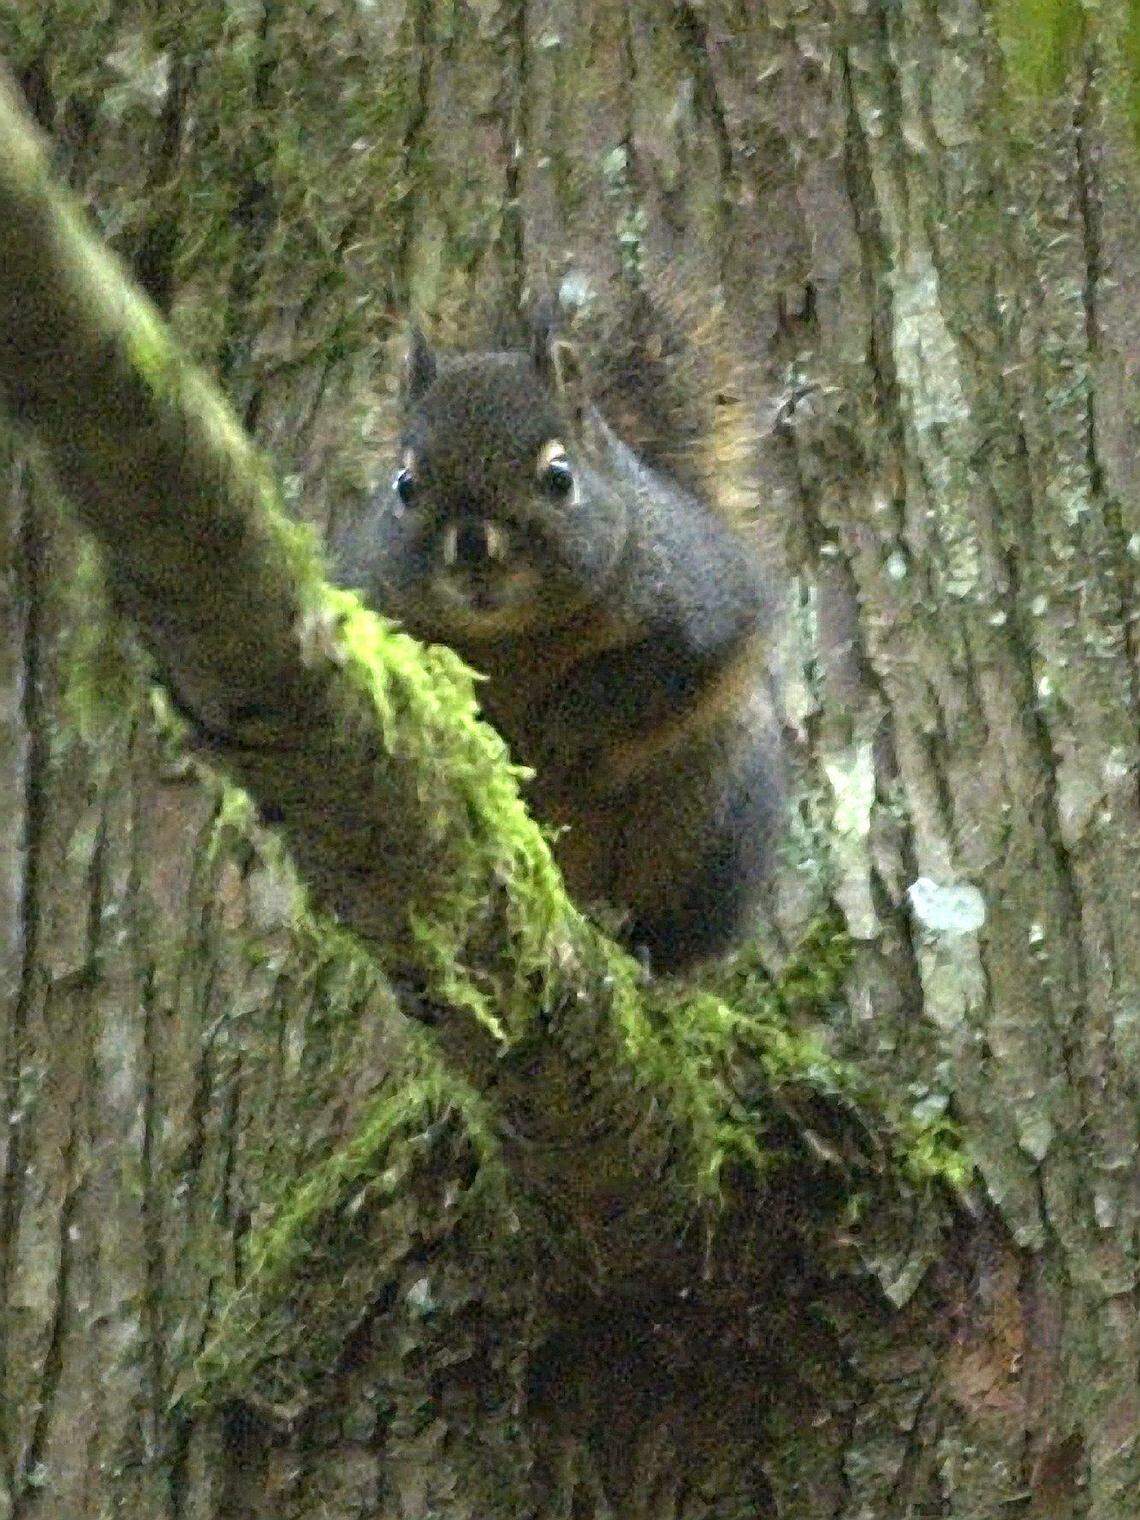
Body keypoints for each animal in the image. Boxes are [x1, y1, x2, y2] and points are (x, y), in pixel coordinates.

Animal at [336, 289, 784, 973]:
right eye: (405, 485)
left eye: (559, 478)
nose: (474, 548)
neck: (517, 636)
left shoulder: (702, 597)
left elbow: (660, 673)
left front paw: (567, 722)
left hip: (708, 822)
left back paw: (640, 941)